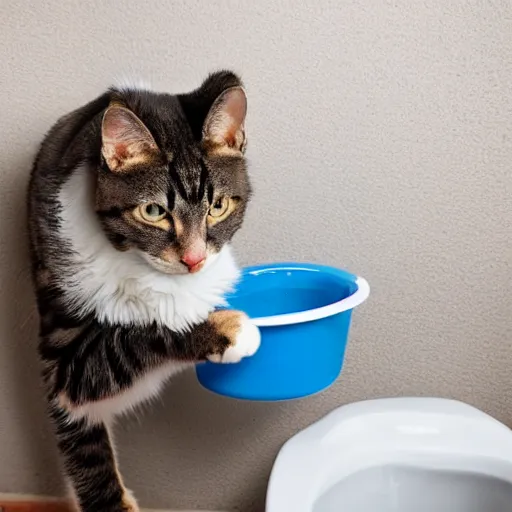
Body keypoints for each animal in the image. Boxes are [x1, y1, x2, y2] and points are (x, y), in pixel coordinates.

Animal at [27, 71, 260, 512]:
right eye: (153, 212)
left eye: (218, 207)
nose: (193, 259)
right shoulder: (64, 360)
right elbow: (131, 337)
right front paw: (227, 328)